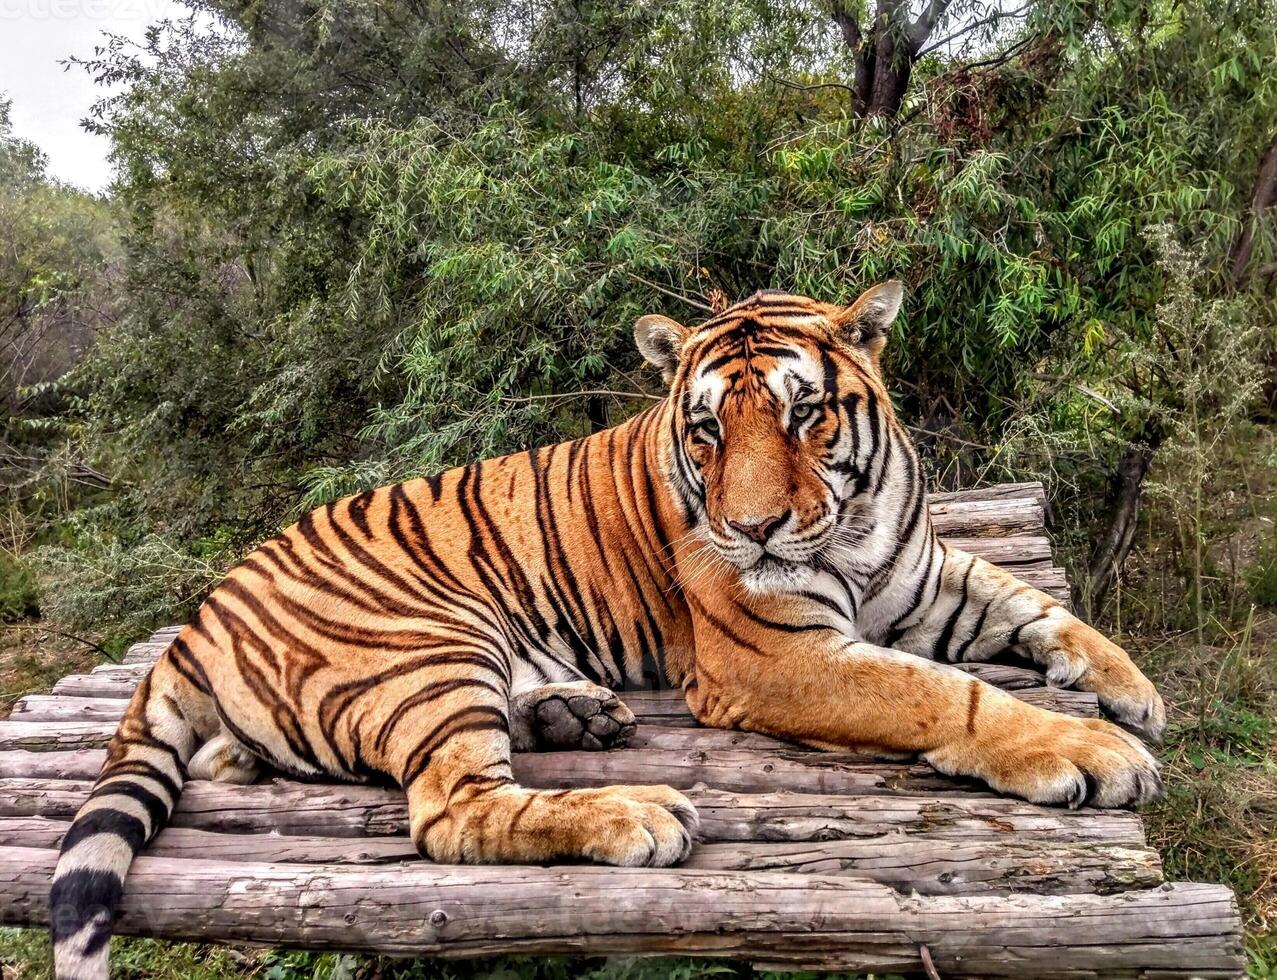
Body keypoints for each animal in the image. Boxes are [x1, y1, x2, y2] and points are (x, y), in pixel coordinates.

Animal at [52, 279, 1169, 976]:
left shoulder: (924, 576)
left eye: (804, 415)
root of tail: (195, 617)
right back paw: (634, 809)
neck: (849, 527)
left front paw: (1131, 690)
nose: (751, 528)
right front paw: (1086, 750)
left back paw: (577, 714)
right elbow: (941, 689)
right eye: (707, 427)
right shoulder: (776, 657)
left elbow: (1039, 608)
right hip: (430, 640)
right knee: (451, 811)